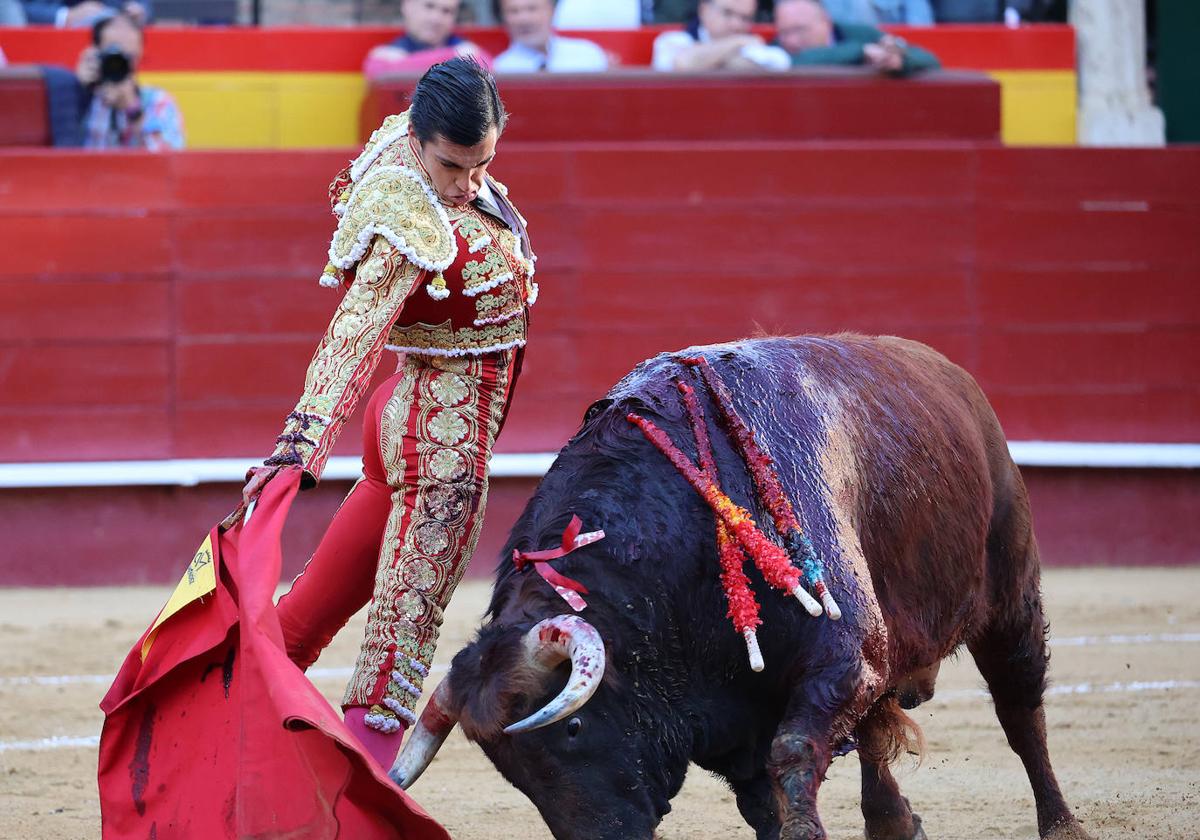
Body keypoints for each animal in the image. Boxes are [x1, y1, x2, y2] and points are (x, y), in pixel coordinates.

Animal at [391, 333, 1089, 840]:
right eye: (510, 771)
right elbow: (765, 800)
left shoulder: (844, 661)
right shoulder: (741, 713)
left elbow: (793, 755)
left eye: (571, 729)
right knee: (877, 734)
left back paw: (1061, 825)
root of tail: (949, 373)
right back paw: (894, 825)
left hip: (1011, 596)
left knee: (1020, 710)